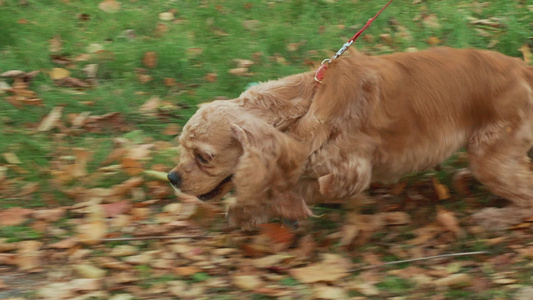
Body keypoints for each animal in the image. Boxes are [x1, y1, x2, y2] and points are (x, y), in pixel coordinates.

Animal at [167, 47, 532, 230]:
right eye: (182, 149)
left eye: (204, 156)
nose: (172, 177)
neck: (304, 104)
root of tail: (521, 66)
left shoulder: (351, 170)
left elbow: (308, 186)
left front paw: (263, 209)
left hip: (489, 157)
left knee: (525, 195)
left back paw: (494, 219)